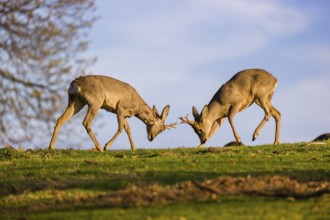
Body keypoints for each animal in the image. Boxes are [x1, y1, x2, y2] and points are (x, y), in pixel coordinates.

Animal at [48, 75, 178, 151]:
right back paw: (100, 148)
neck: (137, 107)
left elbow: (128, 129)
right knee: (86, 122)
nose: (151, 138)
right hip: (95, 101)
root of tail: (74, 83)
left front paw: (134, 148)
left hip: (76, 101)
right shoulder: (120, 107)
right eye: (161, 129)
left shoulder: (123, 113)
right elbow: (120, 128)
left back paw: (51, 146)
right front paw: (107, 146)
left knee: (60, 119)